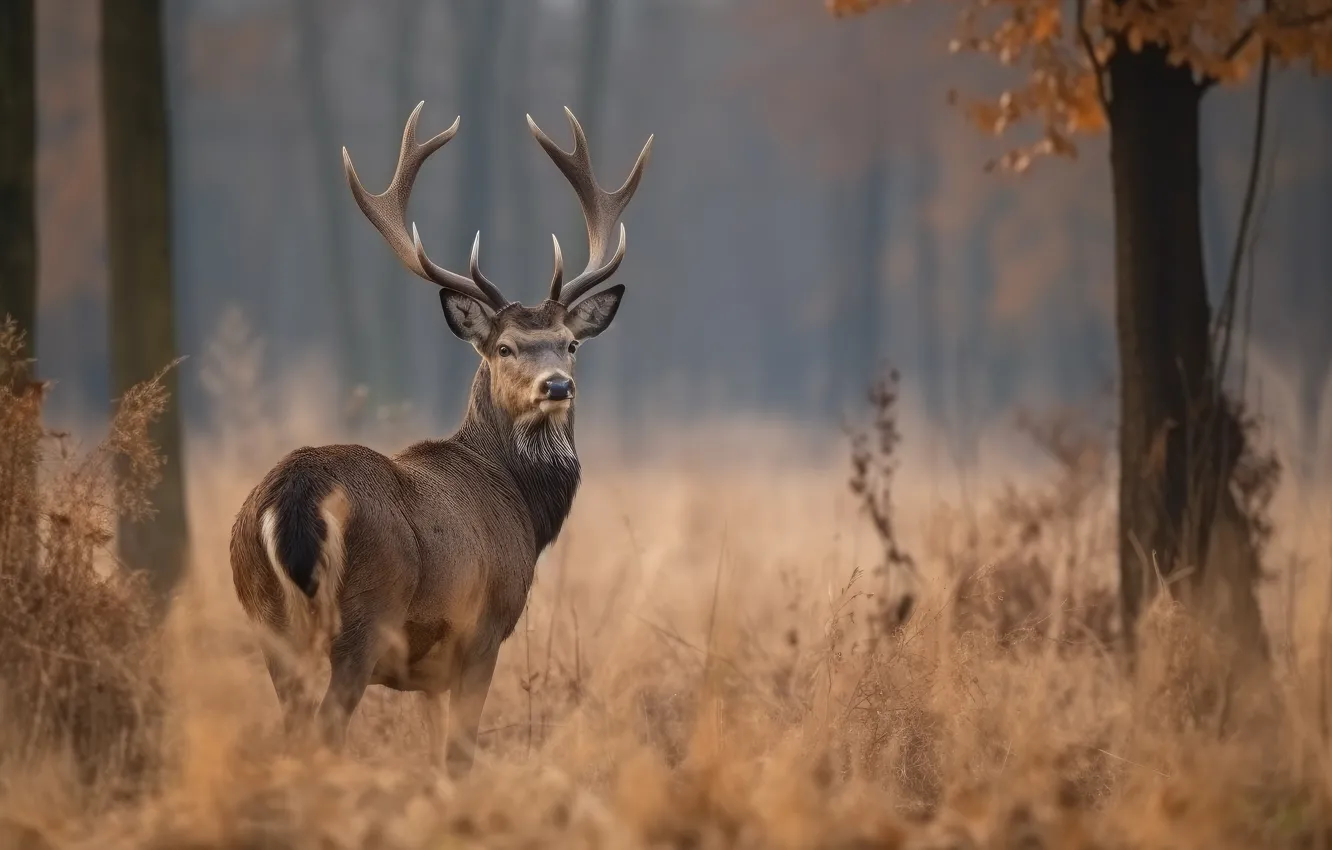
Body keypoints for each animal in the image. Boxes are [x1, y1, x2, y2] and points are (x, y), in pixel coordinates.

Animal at [229, 103, 652, 777]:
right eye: (505, 347)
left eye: (571, 344)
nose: (557, 386)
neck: (520, 505)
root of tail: (291, 495)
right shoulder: (482, 631)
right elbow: (459, 755)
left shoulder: (426, 675)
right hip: (363, 617)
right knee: (325, 728)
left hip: (265, 618)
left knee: (290, 731)